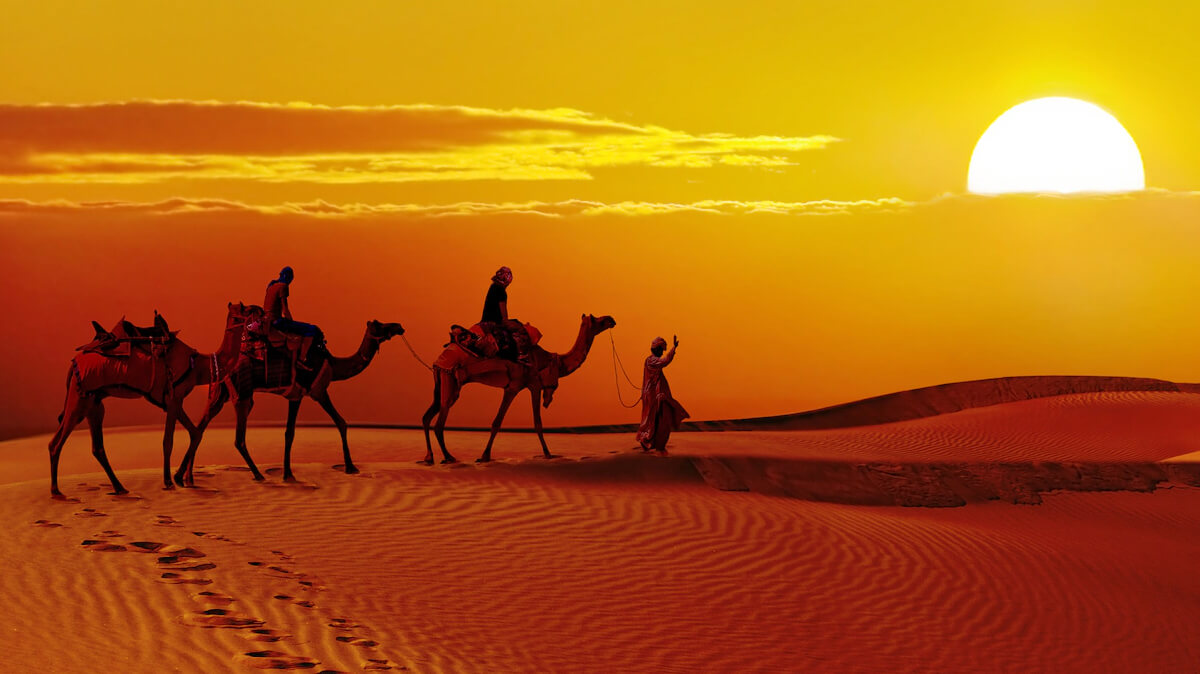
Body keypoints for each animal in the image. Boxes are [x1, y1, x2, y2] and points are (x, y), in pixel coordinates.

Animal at [47, 304, 249, 498]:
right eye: (241, 313)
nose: (253, 318)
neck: (198, 366)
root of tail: (75, 361)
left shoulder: (174, 401)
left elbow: (196, 433)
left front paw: (180, 478)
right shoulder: (173, 398)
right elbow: (168, 441)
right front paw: (169, 481)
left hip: (94, 403)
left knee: (97, 447)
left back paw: (120, 488)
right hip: (78, 400)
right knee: (56, 442)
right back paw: (56, 490)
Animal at [174, 318, 405, 485]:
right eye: (380, 324)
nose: (399, 326)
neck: (332, 364)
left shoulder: (300, 394)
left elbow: (294, 432)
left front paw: (288, 473)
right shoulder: (314, 391)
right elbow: (334, 424)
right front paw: (349, 467)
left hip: (219, 393)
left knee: (200, 428)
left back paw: (185, 477)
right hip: (243, 394)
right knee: (238, 438)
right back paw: (257, 475)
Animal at [421, 313, 616, 464]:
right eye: (597, 320)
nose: (611, 319)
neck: (552, 361)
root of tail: (438, 361)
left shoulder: (520, 387)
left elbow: (505, 422)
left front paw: (485, 456)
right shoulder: (525, 386)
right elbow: (528, 422)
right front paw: (548, 454)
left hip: (441, 384)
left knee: (426, 417)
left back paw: (429, 457)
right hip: (450, 383)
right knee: (439, 423)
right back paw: (449, 457)